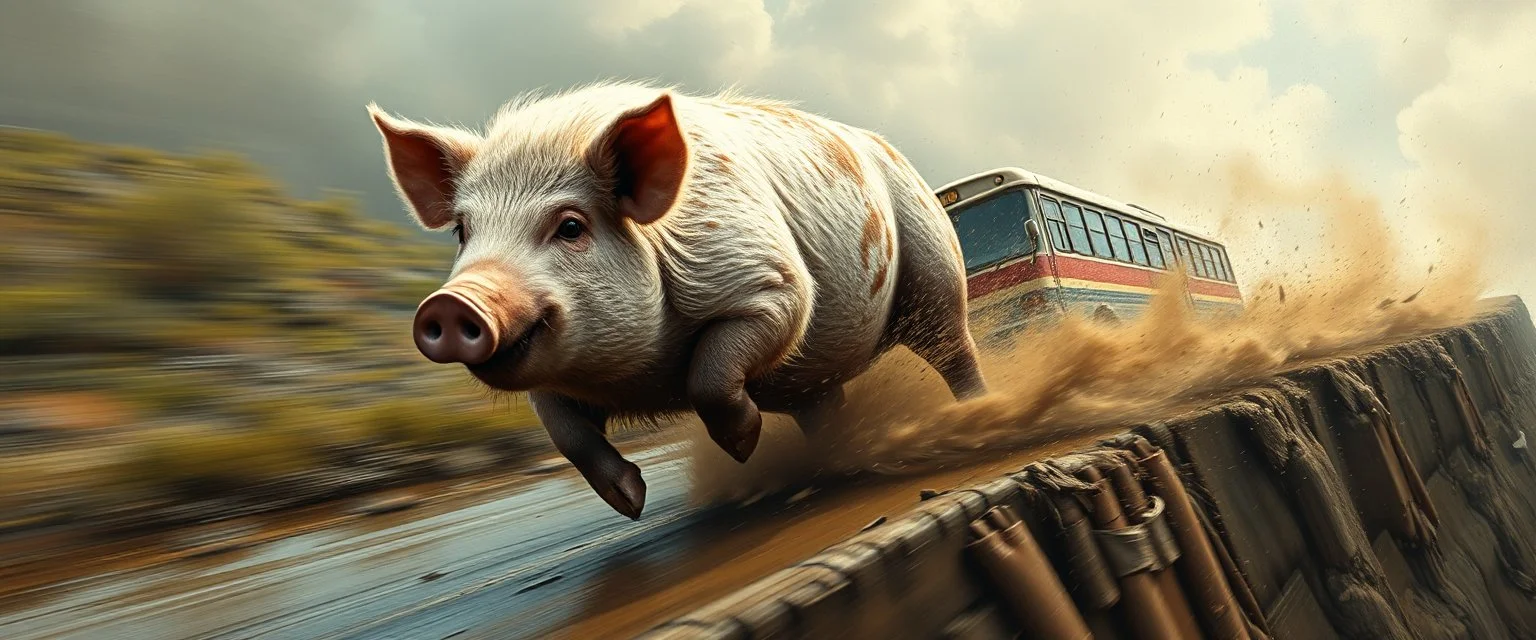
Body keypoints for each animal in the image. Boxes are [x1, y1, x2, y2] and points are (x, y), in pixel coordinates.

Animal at [367, 81, 986, 520]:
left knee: (952, 348)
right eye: (463, 231)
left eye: (570, 226)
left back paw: (977, 410)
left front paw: (742, 443)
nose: (450, 305)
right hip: (820, 374)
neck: (641, 375)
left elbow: (711, 371)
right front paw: (631, 504)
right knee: (825, 403)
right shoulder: (550, 378)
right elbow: (566, 434)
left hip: (932, 259)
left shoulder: (771, 283)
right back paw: (831, 464)